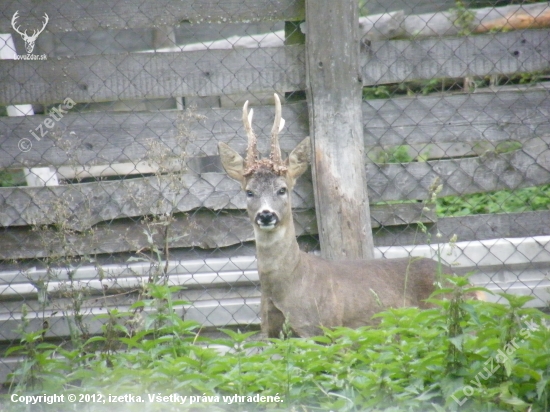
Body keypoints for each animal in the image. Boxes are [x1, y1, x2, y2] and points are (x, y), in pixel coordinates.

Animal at [218, 94, 446, 338]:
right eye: (249, 192)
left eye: (282, 189)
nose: (266, 215)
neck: (289, 287)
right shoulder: (270, 334)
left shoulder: (322, 329)